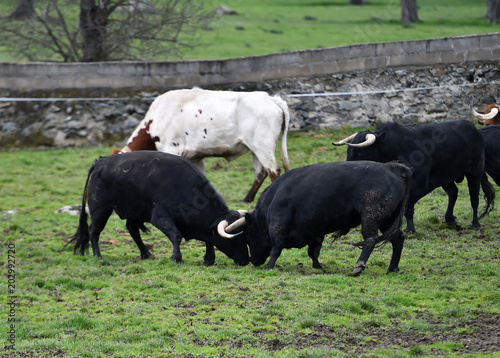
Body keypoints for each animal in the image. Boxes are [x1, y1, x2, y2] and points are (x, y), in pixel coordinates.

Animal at [67, 151, 250, 266]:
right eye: (235, 239)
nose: (246, 260)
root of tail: (101, 161)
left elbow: (208, 239)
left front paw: (209, 259)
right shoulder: (160, 217)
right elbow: (176, 235)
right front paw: (176, 258)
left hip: (134, 211)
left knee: (132, 230)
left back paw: (146, 254)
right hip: (101, 209)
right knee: (94, 231)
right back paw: (98, 256)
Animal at [114, 88, 292, 203]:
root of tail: (270, 98)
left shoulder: (171, 148)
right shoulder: (196, 157)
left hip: (263, 145)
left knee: (274, 170)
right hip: (256, 148)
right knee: (261, 173)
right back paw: (247, 199)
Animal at [229, 161, 412, 276]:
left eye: (248, 237)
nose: (253, 261)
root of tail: (394, 168)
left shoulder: (278, 224)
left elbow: (277, 248)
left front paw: (269, 267)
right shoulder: (314, 231)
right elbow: (313, 250)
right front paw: (318, 266)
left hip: (371, 215)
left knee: (370, 238)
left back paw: (358, 266)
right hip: (388, 219)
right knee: (398, 238)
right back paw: (392, 268)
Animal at [334, 119, 494, 234]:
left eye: (360, 152)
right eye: (348, 151)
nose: (347, 168)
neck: (395, 147)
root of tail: (473, 128)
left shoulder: (420, 185)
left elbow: (408, 208)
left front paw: (410, 229)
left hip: (475, 172)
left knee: (474, 198)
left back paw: (475, 224)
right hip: (446, 176)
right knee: (453, 192)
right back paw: (449, 219)